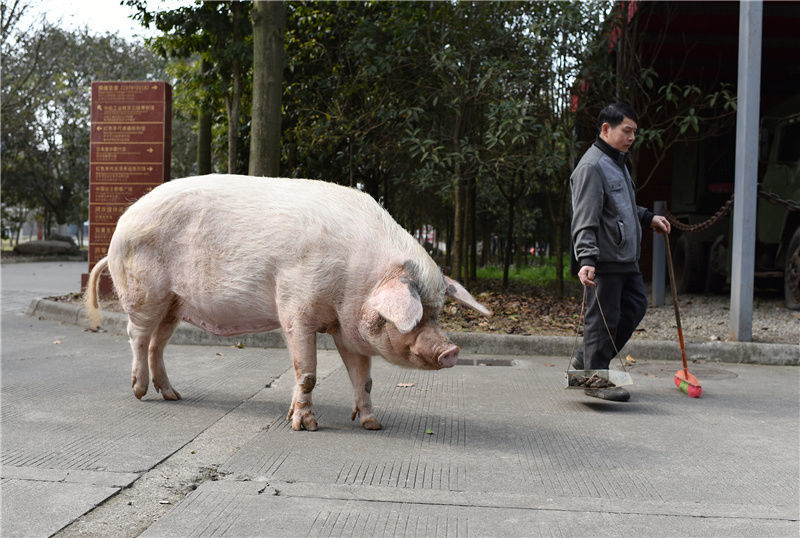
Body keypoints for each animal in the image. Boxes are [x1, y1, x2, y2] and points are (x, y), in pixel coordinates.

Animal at [86, 174, 488, 430]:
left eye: (437, 312)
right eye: (416, 313)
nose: (451, 350)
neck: (356, 277)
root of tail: (120, 226)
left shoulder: (346, 326)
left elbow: (364, 378)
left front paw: (373, 424)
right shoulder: (295, 305)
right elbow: (306, 372)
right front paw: (305, 427)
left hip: (175, 303)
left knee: (158, 342)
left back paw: (173, 395)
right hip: (144, 293)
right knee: (137, 336)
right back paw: (140, 392)